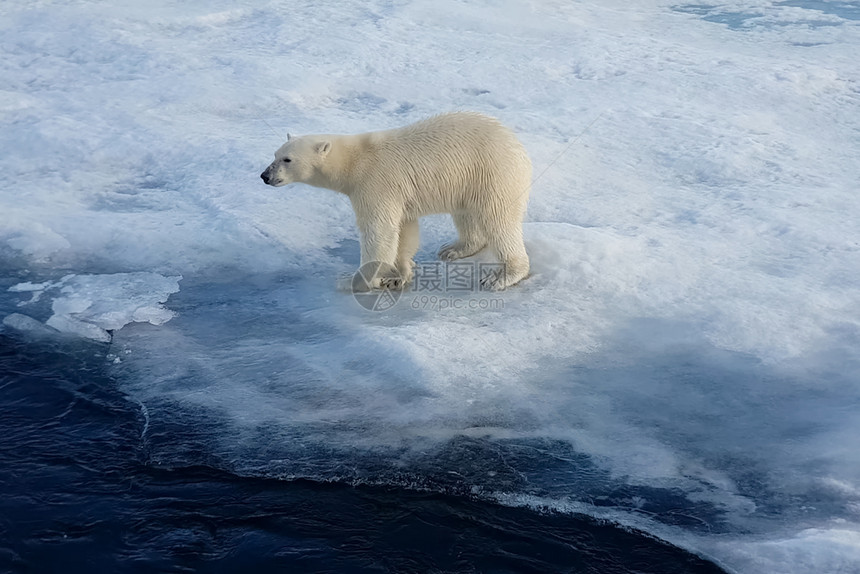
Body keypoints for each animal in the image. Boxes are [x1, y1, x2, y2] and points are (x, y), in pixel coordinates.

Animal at [260, 112, 532, 292]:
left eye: (287, 159)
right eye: (275, 154)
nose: (265, 176)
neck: (354, 162)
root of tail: (519, 147)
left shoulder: (374, 184)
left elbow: (379, 232)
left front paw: (354, 281)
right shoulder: (397, 194)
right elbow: (403, 230)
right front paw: (399, 275)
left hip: (492, 174)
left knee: (499, 222)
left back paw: (501, 276)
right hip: (468, 181)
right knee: (465, 214)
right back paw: (453, 249)